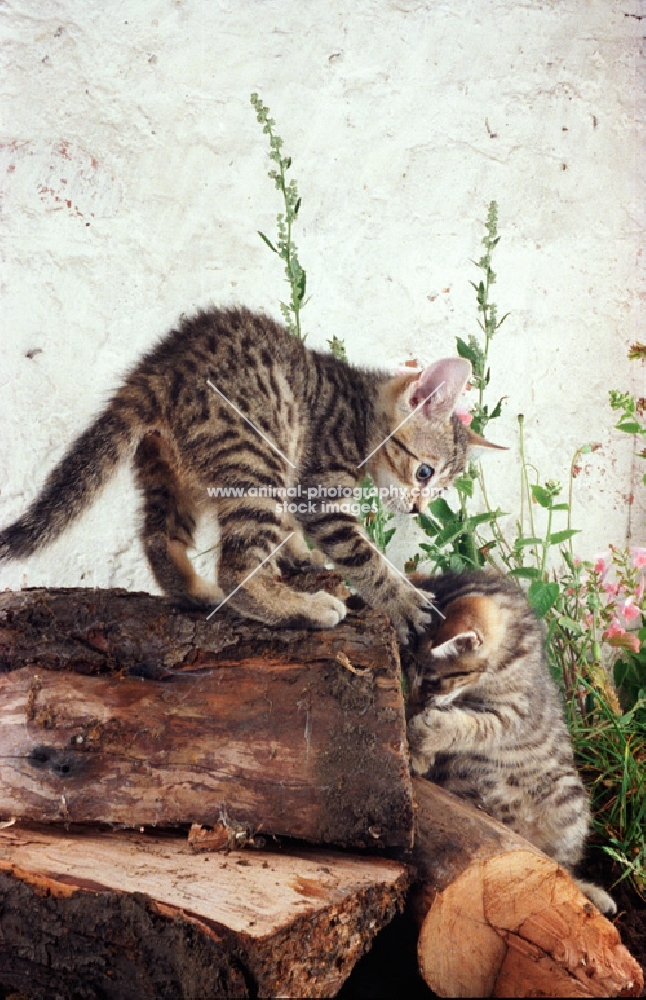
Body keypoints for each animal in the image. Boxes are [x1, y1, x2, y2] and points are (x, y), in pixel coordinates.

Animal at [0, 304, 502, 644]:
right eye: (424, 472)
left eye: (440, 485)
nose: (418, 509)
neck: (359, 411)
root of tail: (159, 366)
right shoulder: (317, 490)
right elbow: (364, 558)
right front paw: (407, 603)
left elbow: (288, 529)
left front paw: (295, 552)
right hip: (259, 451)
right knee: (235, 567)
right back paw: (304, 610)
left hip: (169, 468)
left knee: (160, 539)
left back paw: (197, 593)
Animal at [404, 572, 616, 916]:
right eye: (403, 673)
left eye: (432, 680)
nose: (413, 702)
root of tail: (517, 831)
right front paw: (419, 752)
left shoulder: (514, 714)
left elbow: (474, 726)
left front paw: (428, 732)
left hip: (568, 798)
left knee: (561, 867)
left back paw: (591, 893)